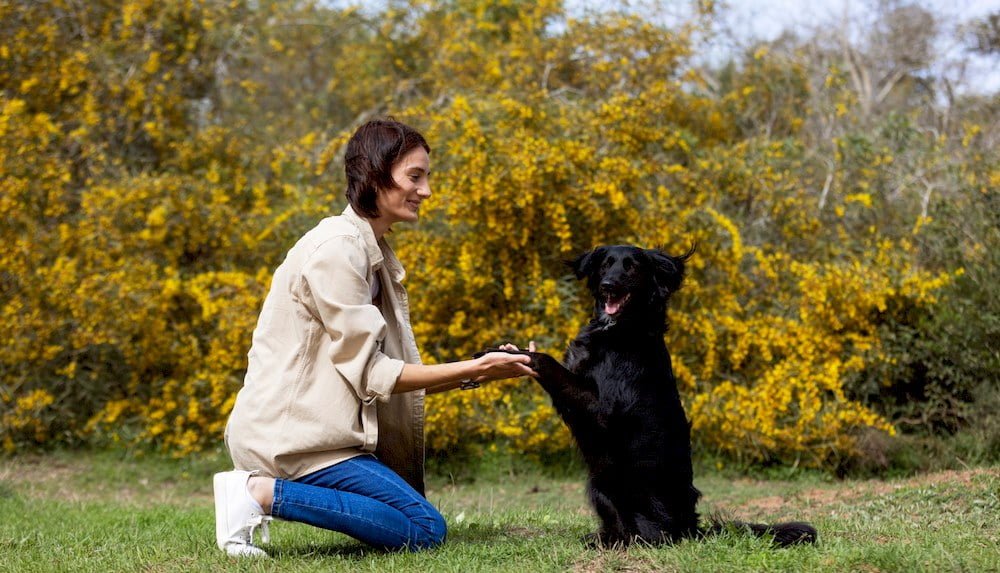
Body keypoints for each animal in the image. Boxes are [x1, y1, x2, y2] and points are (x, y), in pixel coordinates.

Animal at [488, 245, 816, 544]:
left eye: (632, 267)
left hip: (618, 484)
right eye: (606, 264)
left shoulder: (601, 411)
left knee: (649, 536)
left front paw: (505, 355)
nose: (608, 285)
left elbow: (545, 361)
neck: (620, 331)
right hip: (599, 485)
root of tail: (690, 527)